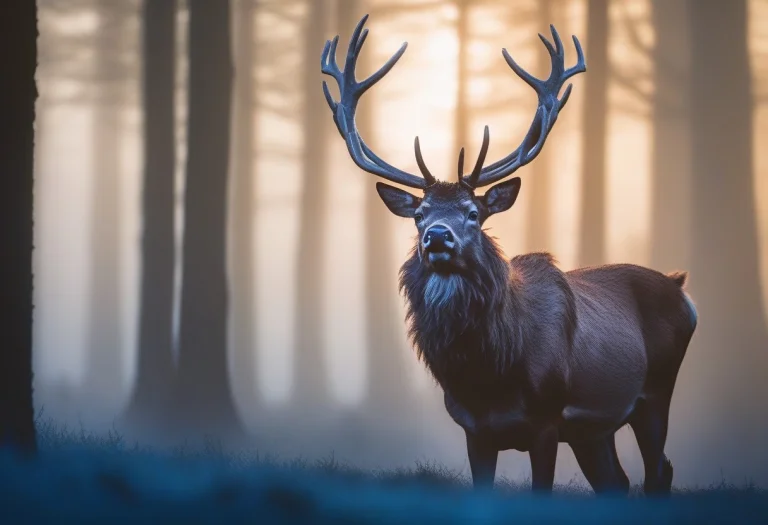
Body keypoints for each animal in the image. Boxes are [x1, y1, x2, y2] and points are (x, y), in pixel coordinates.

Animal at [320, 15, 698, 496]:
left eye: (473, 212)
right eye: (420, 215)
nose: (437, 237)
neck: (490, 375)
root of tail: (680, 287)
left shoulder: (547, 419)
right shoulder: (473, 429)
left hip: (655, 391)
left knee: (659, 470)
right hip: (594, 429)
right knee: (617, 481)